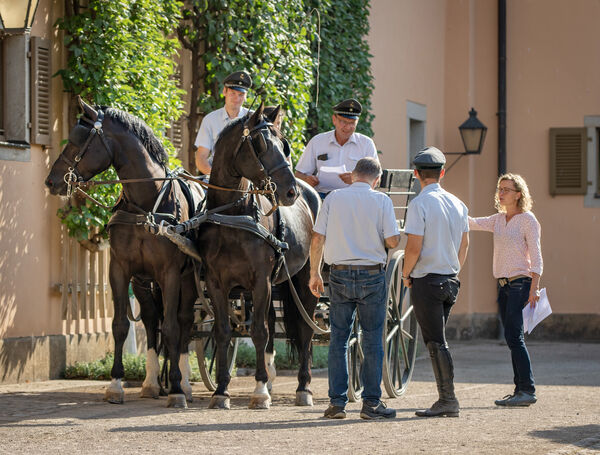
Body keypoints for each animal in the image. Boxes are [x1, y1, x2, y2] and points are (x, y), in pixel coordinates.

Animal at [45, 97, 204, 410]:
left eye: (77, 141)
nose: (51, 181)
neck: (146, 205)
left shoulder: (170, 274)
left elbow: (171, 329)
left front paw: (177, 389)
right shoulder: (120, 270)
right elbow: (120, 325)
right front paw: (116, 384)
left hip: (188, 281)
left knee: (183, 323)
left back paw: (184, 383)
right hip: (144, 283)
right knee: (152, 320)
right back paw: (152, 382)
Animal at [198, 104, 322, 410]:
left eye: (285, 145)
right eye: (262, 144)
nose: (291, 191)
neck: (233, 217)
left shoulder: (261, 281)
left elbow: (259, 332)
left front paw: (260, 391)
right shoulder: (217, 284)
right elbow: (223, 332)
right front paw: (221, 392)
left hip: (306, 281)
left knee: (305, 331)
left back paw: (304, 388)